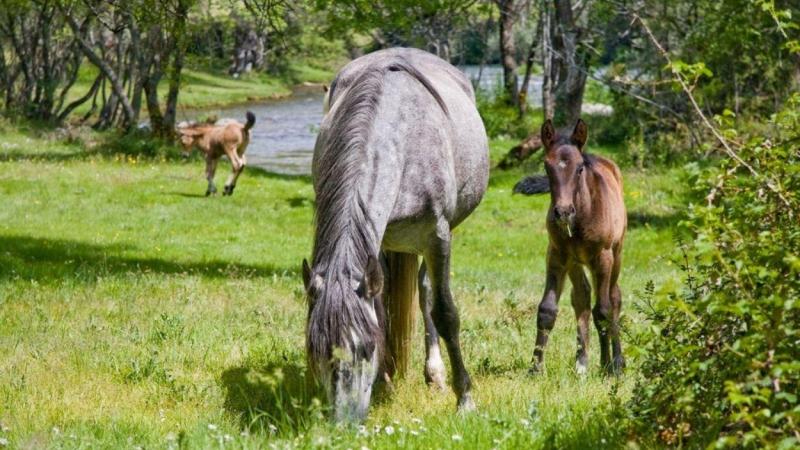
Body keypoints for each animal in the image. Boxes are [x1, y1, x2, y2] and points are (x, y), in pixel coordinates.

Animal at [300, 47, 488, 420]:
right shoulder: (376, 241)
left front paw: (465, 398)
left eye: (366, 349)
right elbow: (381, 311)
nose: (344, 421)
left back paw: (436, 374)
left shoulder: (438, 237)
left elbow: (445, 312)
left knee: (426, 291)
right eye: (317, 351)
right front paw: (383, 382)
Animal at [520, 118, 628, 374]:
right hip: (576, 261)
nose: (563, 212)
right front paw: (535, 368)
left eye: (579, 169)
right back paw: (582, 361)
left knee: (614, 297)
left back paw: (617, 361)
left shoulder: (603, 257)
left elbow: (604, 310)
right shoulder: (557, 255)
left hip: (616, 254)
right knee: (582, 295)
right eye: (547, 167)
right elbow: (547, 309)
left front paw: (609, 366)